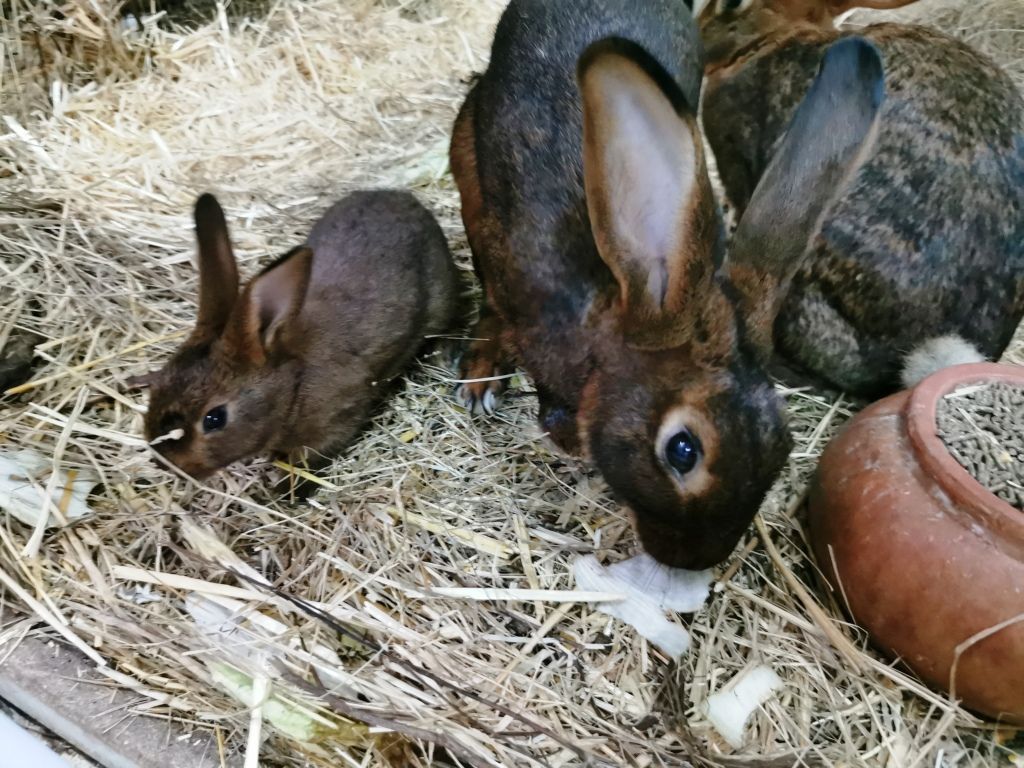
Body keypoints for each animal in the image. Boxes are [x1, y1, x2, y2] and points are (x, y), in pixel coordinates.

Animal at [131, 190, 460, 482]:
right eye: (158, 385)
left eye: (214, 419)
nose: (164, 464)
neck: (290, 385)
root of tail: (406, 199)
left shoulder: (334, 422)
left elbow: (310, 461)